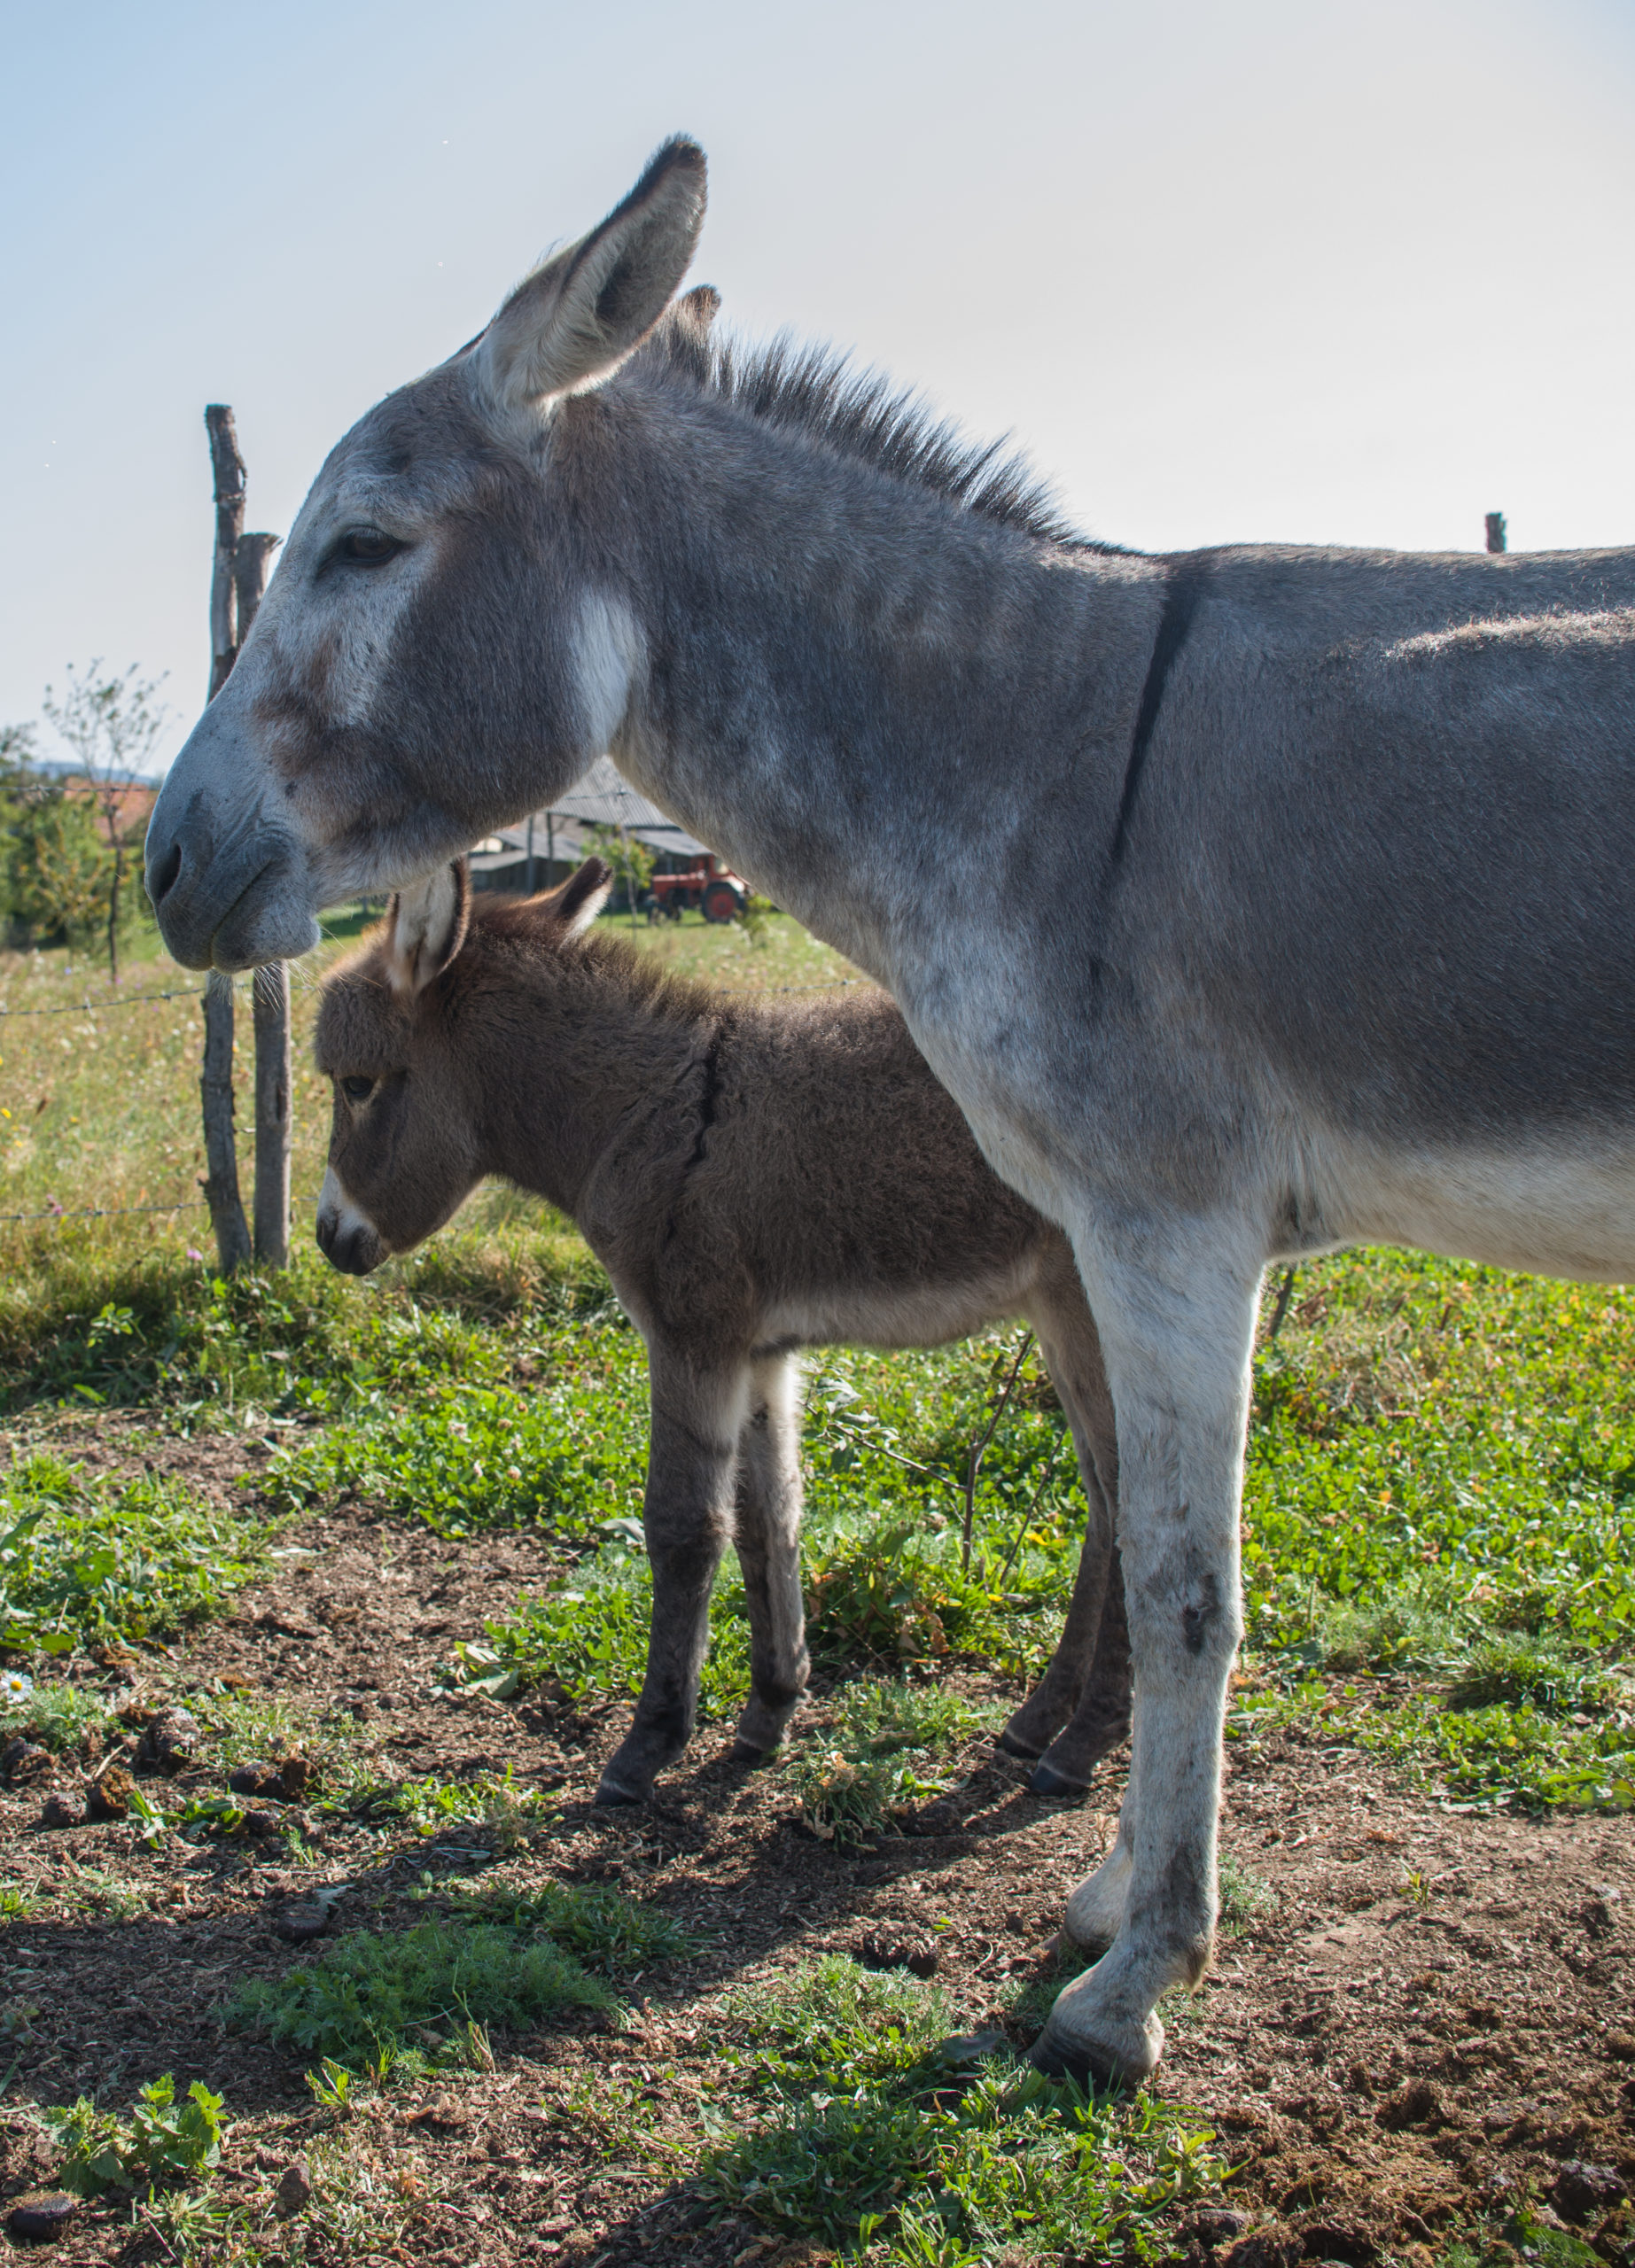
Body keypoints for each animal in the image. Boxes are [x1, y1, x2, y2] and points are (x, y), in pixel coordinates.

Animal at [313, 861, 1129, 1805]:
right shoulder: (757, 1352)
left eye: (357, 1084)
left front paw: (649, 1744)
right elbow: (766, 1518)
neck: (643, 1115)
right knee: (1105, 1504)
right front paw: (769, 1712)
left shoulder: (690, 1337)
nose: (328, 1240)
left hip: (1092, 1310)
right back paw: (1040, 1722)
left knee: (1141, 1510)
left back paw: (1082, 1743)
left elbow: (681, 1526)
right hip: (1061, 1315)